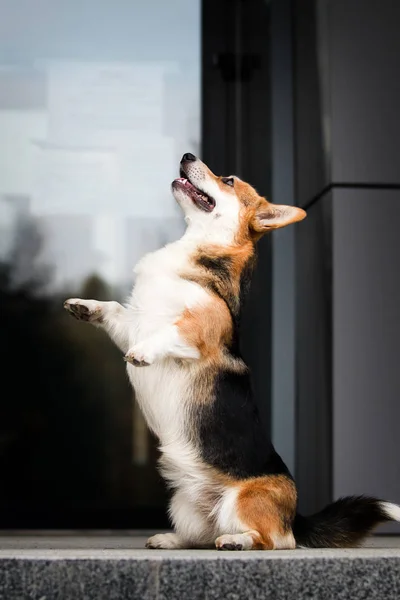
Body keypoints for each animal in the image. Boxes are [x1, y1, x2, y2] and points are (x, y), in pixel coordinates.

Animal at [65, 154, 400, 548]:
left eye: (228, 180)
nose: (187, 157)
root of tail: (294, 517)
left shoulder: (197, 332)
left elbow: (169, 331)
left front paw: (144, 352)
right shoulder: (133, 322)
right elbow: (116, 309)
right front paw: (85, 306)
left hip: (242, 501)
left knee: (274, 541)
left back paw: (238, 541)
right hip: (183, 505)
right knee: (201, 536)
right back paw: (171, 538)